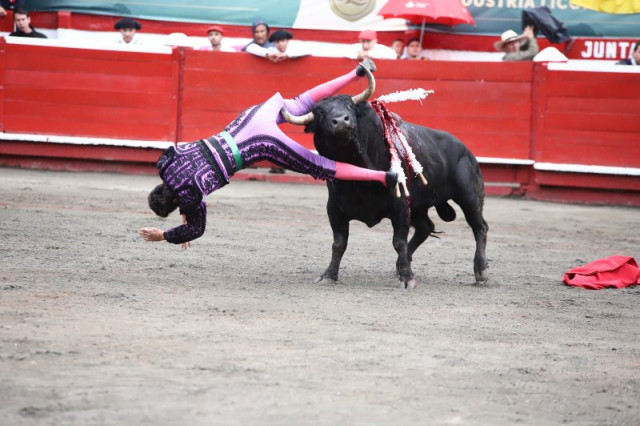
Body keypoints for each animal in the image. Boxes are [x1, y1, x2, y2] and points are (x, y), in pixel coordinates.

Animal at [281, 67, 488, 288]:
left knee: (479, 226)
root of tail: (465, 150)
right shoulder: (334, 209)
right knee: (426, 227)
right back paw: (401, 265)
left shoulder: (400, 206)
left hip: (469, 196)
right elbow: (339, 243)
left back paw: (481, 270)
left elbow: (398, 242)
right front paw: (328, 275)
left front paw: (407, 279)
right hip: (418, 205)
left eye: (349, 106)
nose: (341, 121)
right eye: (320, 113)